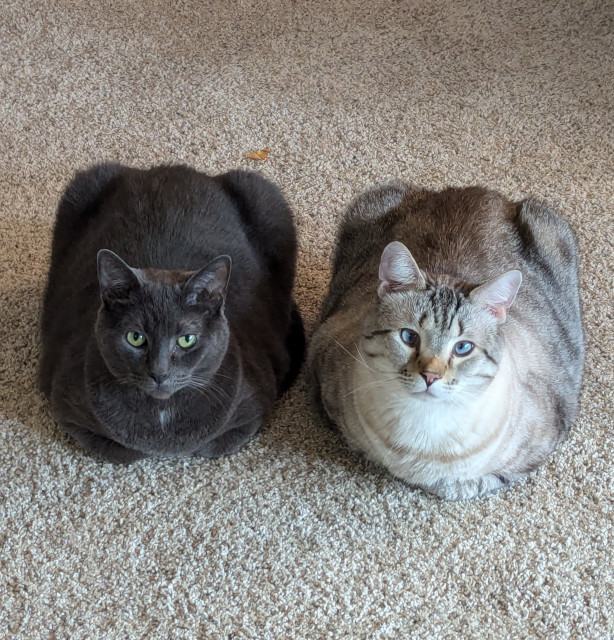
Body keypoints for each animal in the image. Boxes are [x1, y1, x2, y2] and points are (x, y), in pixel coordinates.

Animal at [41, 164, 306, 464]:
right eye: (135, 337)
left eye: (186, 339)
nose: (159, 372)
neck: (162, 416)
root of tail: (172, 169)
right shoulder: (66, 405)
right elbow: (125, 450)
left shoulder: (255, 407)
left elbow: (210, 446)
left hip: (266, 198)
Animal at [310, 185, 584, 500]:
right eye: (409, 337)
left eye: (463, 348)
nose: (430, 376)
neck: (421, 441)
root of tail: (475, 190)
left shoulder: (543, 440)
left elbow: (464, 484)